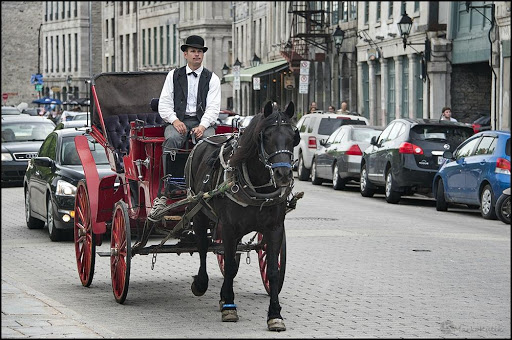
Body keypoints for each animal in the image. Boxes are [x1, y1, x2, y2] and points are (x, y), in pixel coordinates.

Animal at [184, 99, 298, 330]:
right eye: (266, 136)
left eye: (293, 137)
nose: (283, 174)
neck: (257, 186)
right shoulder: (229, 228)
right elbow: (228, 266)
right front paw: (229, 306)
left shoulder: (274, 229)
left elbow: (272, 271)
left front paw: (275, 314)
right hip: (199, 212)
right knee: (202, 247)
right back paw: (201, 283)